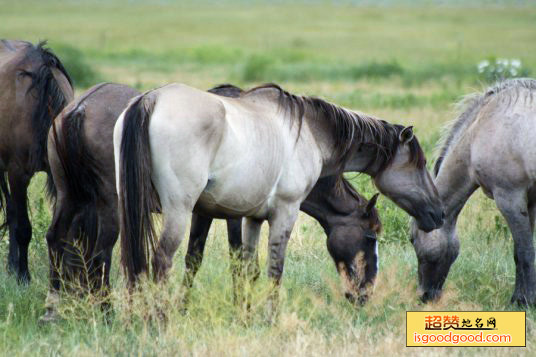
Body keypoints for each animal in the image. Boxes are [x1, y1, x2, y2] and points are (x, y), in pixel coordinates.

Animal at [42, 82, 384, 320]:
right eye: (370, 237)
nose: (365, 293)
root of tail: (80, 108)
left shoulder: (213, 213)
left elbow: (203, 260)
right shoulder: (244, 213)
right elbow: (249, 265)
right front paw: (247, 311)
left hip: (73, 199)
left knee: (61, 241)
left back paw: (57, 308)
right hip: (126, 208)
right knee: (114, 255)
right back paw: (123, 315)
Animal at [114, 81, 444, 314]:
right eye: (370, 237)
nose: (438, 213)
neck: (311, 134)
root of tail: (151, 99)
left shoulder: (252, 217)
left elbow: (248, 268)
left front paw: (245, 317)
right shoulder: (285, 211)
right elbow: (275, 269)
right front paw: (269, 318)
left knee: (135, 261)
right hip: (178, 211)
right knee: (160, 261)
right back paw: (158, 321)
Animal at [412, 77, 536, 304]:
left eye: (412, 238)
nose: (424, 296)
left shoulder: (510, 200)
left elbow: (523, 253)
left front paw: (524, 301)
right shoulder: (529, 202)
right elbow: (523, 251)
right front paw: (521, 297)